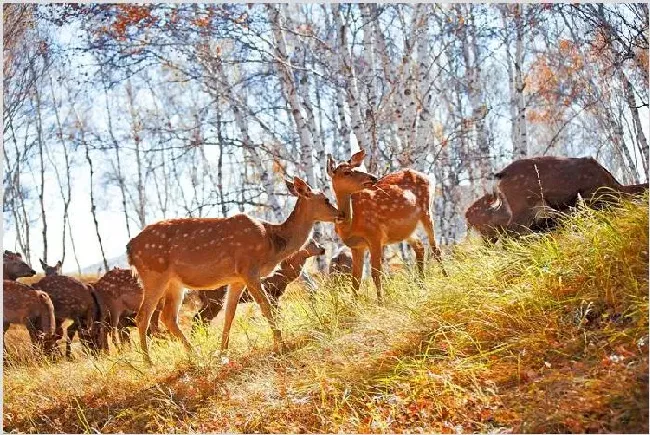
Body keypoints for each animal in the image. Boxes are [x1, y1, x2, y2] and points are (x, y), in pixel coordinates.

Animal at [124, 177, 342, 364]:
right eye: (325, 199)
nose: (341, 215)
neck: (271, 243)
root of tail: (130, 247)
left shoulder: (236, 278)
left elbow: (230, 314)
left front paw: (223, 353)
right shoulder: (249, 268)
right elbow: (266, 307)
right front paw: (280, 345)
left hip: (174, 283)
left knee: (168, 317)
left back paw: (195, 355)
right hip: (154, 275)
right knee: (143, 316)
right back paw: (149, 363)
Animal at [330, 150, 446, 304]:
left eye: (358, 168)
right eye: (347, 172)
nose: (373, 177)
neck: (351, 225)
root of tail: (428, 176)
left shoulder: (375, 236)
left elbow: (375, 273)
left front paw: (380, 303)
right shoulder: (356, 246)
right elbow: (356, 279)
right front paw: (354, 305)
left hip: (427, 210)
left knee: (435, 249)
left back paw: (446, 278)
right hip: (406, 229)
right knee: (420, 246)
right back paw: (422, 285)